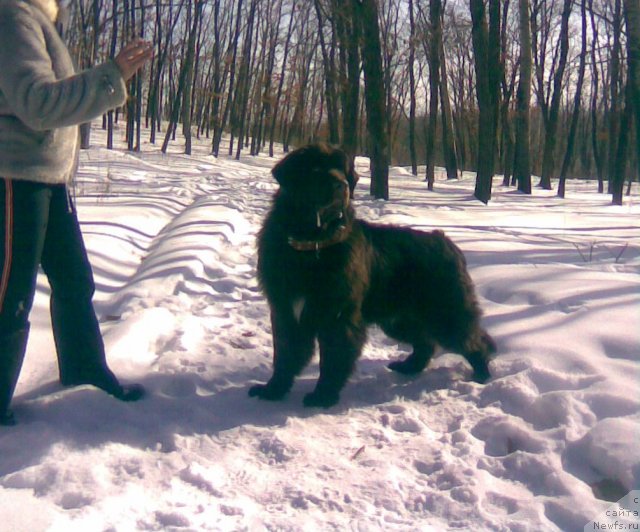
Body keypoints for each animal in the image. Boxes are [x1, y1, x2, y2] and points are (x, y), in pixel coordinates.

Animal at [250, 142, 496, 408]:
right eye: (316, 169)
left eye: (342, 170)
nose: (342, 185)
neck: (312, 245)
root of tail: (447, 241)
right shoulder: (285, 311)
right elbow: (285, 355)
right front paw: (273, 390)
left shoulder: (338, 316)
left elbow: (333, 359)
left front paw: (323, 396)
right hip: (399, 319)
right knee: (425, 343)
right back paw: (408, 367)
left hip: (445, 312)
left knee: (472, 341)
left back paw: (482, 376)